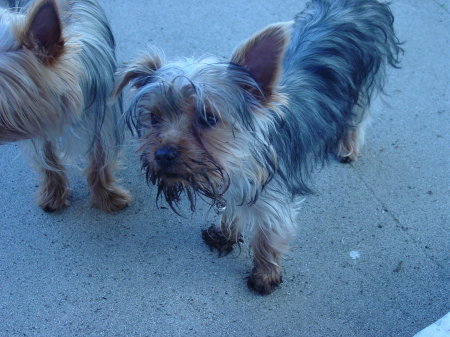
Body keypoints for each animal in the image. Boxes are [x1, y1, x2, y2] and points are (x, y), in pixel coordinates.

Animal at [0, 0, 130, 211]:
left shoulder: (102, 121)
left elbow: (99, 158)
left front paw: (107, 195)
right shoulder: (38, 123)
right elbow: (48, 159)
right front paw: (54, 194)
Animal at [118, 0, 402, 294]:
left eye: (208, 118)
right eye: (154, 117)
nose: (162, 154)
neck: (241, 158)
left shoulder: (273, 196)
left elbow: (270, 233)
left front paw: (265, 274)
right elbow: (232, 209)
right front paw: (225, 233)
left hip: (367, 78)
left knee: (359, 114)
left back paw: (348, 145)